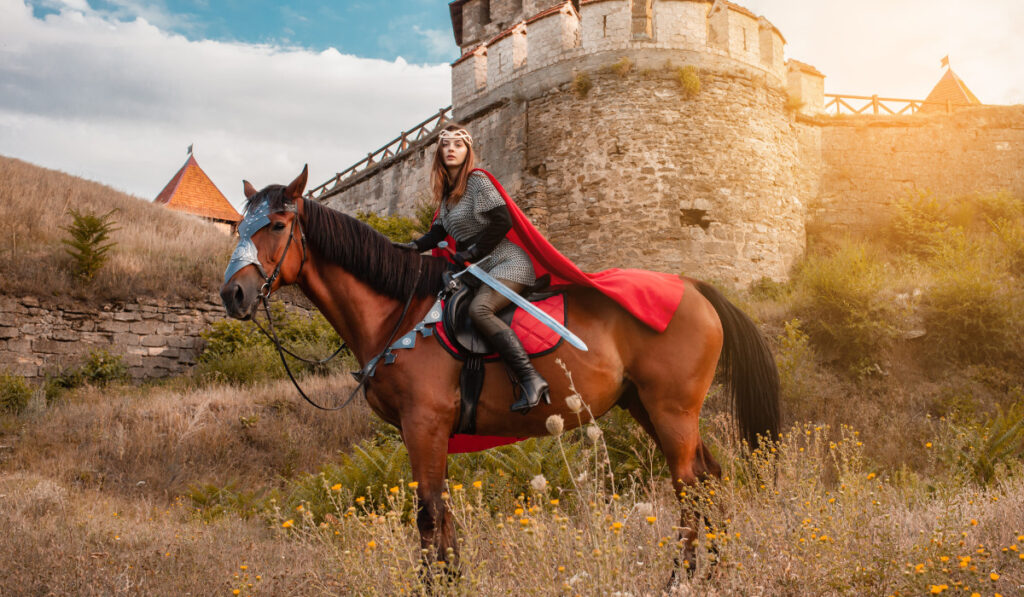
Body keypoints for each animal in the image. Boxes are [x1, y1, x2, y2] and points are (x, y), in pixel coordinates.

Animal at [216, 165, 774, 581]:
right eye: (240, 229)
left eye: (277, 226)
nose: (233, 294)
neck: (401, 312)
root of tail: (692, 287)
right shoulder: (426, 433)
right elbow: (443, 514)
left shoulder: (424, 425)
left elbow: (427, 513)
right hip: (647, 407)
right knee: (709, 477)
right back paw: (714, 569)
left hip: (671, 409)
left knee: (688, 485)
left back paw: (680, 576)